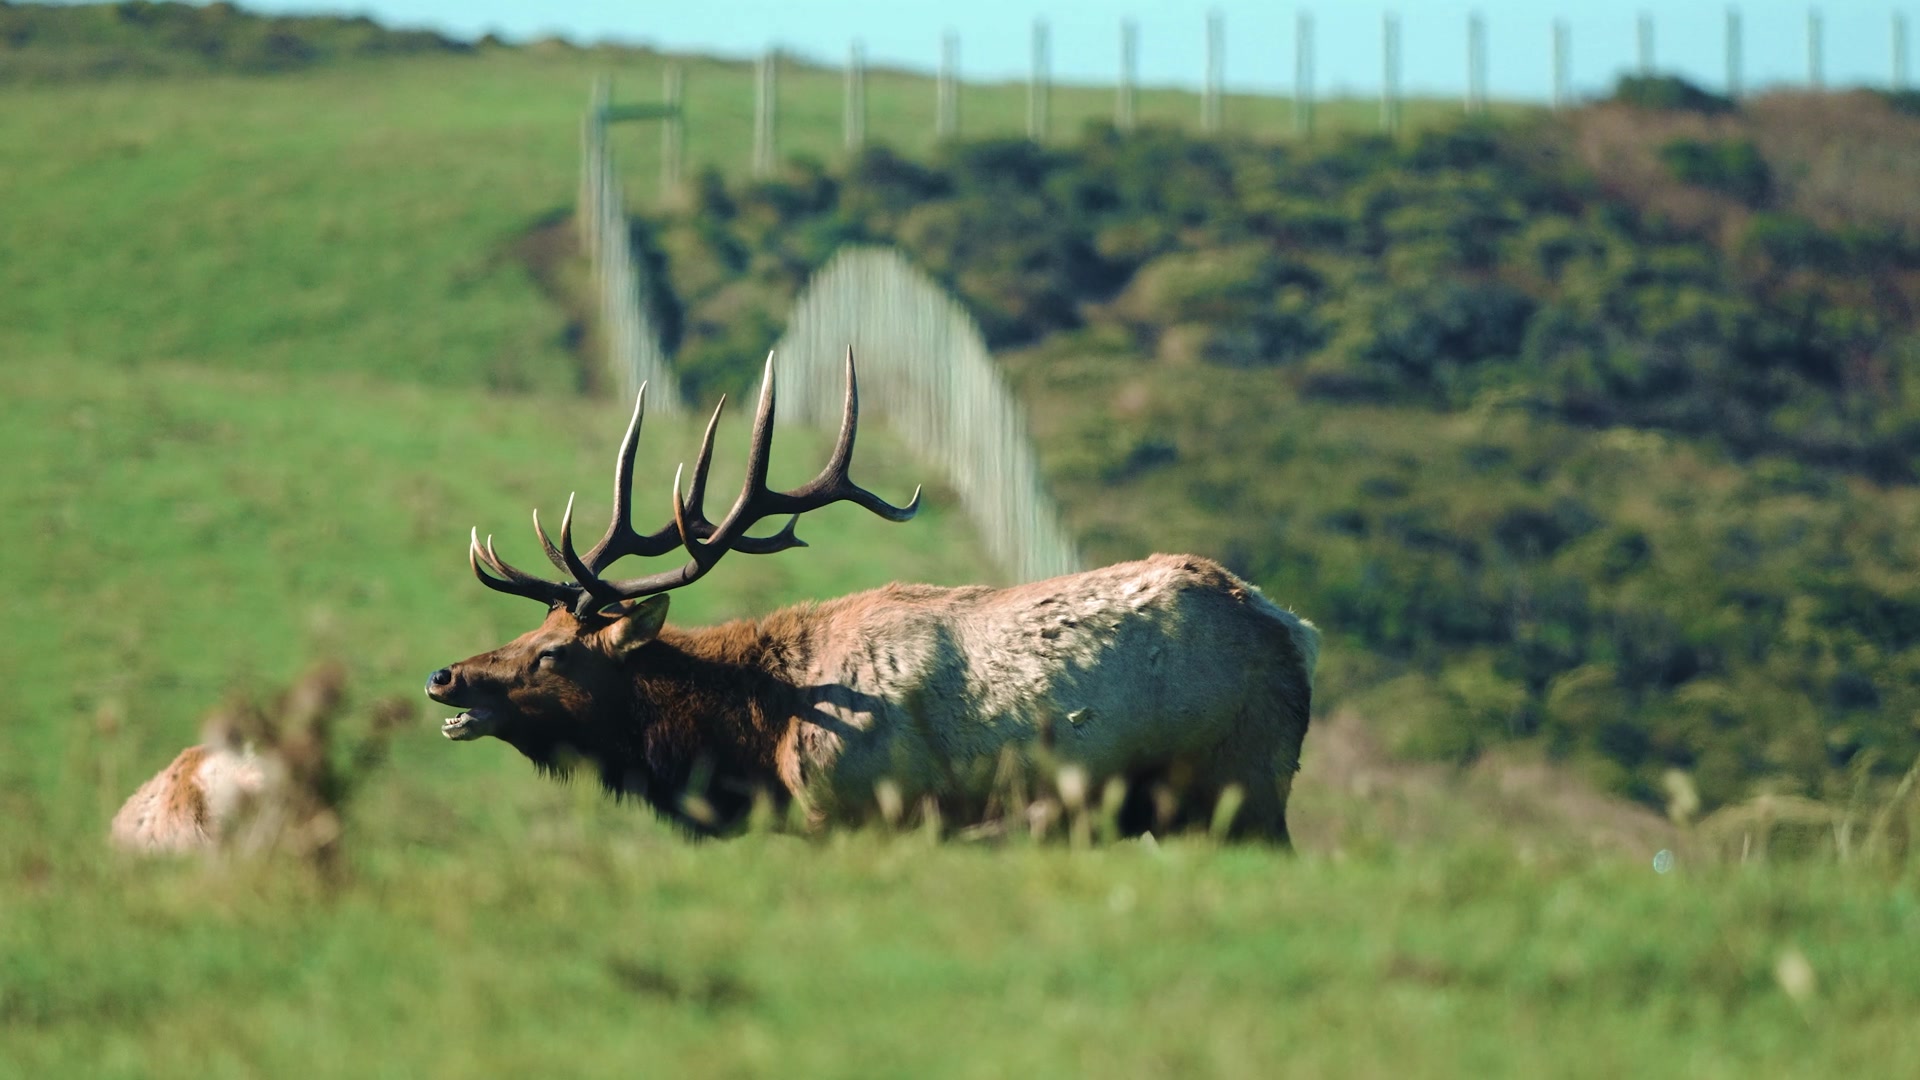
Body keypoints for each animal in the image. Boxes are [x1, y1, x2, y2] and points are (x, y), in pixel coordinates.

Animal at [427, 350, 1319, 842]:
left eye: (552, 652)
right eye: (528, 628)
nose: (445, 675)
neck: (760, 743)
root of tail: (1294, 630)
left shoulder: (859, 812)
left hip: (1241, 780)